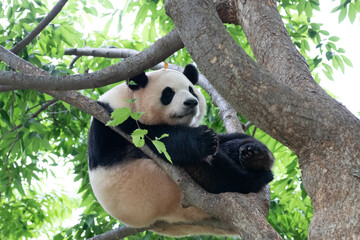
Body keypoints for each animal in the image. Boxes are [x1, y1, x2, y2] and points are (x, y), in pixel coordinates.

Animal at [88, 64, 272, 236]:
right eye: (168, 93)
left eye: (191, 90)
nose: (191, 102)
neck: (127, 99)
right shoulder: (118, 121)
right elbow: (163, 143)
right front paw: (202, 140)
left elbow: (224, 139)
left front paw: (252, 147)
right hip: (156, 187)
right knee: (212, 174)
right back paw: (256, 177)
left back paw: (257, 156)